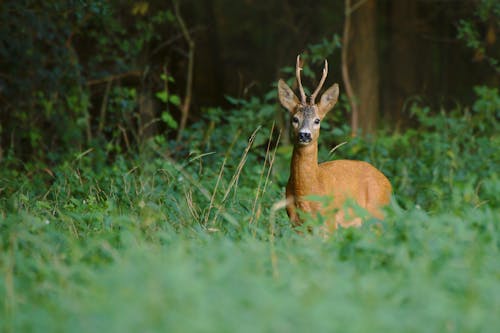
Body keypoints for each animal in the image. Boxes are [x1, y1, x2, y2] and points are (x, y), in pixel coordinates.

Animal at [278, 55, 390, 231]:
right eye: (294, 119)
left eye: (317, 120)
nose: (304, 135)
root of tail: (389, 184)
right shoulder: (295, 223)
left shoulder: (329, 221)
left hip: (378, 215)